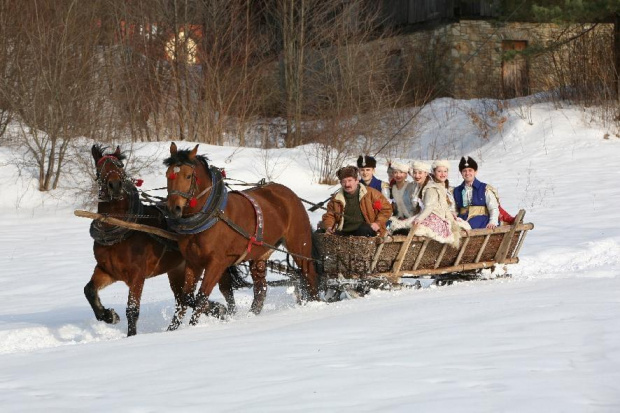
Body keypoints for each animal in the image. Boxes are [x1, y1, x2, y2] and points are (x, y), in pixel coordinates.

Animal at [84, 144, 230, 334]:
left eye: (120, 166)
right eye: (100, 168)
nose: (115, 185)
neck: (120, 229)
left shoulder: (137, 275)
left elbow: (132, 310)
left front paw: (131, 335)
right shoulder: (107, 270)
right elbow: (89, 290)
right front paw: (108, 315)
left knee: (210, 293)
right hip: (178, 270)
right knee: (183, 300)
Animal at [165, 142, 320, 328]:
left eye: (188, 176)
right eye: (167, 175)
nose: (174, 209)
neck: (212, 214)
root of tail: (290, 194)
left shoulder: (217, 263)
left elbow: (201, 297)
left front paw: (205, 319)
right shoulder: (193, 262)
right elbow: (186, 297)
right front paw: (173, 329)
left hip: (299, 244)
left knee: (309, 274)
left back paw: (316, 304)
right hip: (260, 254)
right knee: (261, 289)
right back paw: (252, 316)